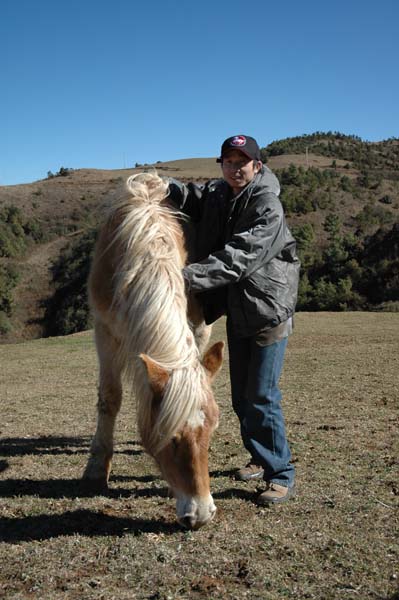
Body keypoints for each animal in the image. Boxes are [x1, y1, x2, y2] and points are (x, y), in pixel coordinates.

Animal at [83, 171, 225, 528]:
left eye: (211, 432)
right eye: (171, 439)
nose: (201, 515)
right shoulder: (104, 331)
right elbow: (109, 398)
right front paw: (96, 468)